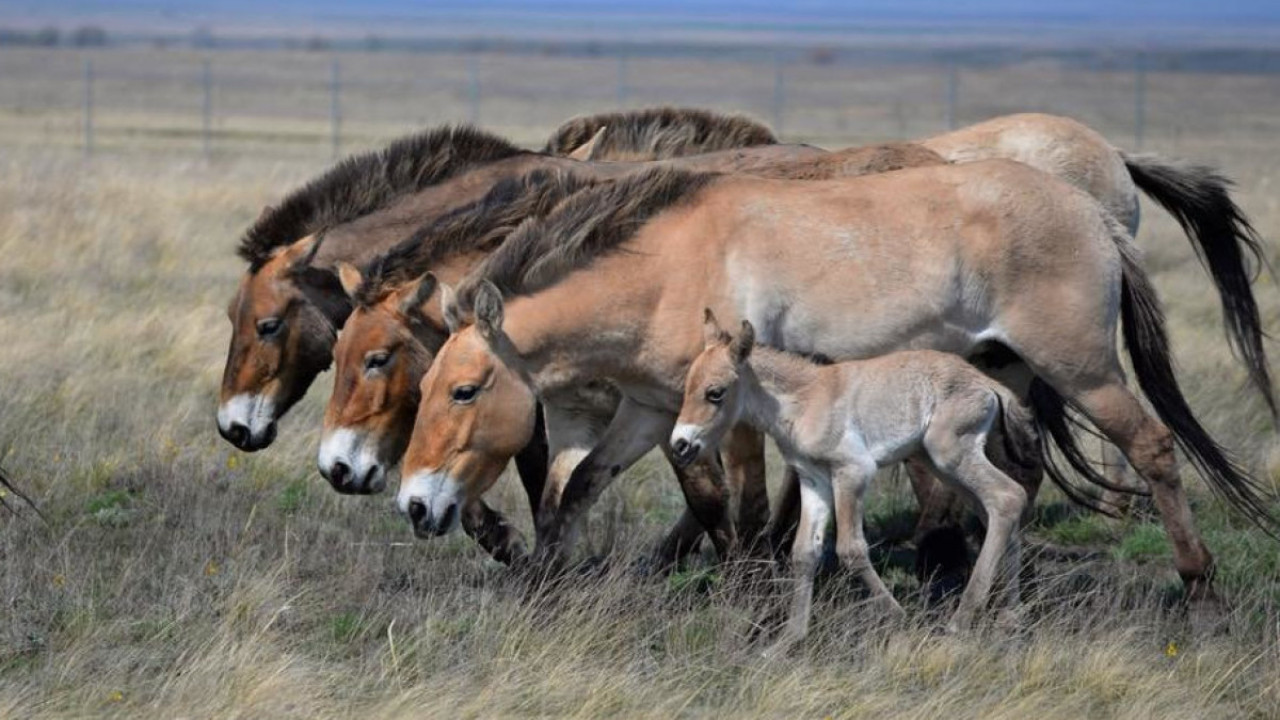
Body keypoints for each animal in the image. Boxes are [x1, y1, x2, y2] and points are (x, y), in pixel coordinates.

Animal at [396, 163, 1269, 609]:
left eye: (464, 391)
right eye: (428, 384)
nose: (414, 505)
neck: (669, 268)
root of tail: (1094, 211)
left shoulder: (728, 416)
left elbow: (739, 506)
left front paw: (748, 591)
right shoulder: (649, 410)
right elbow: (578, 489)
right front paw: (543, 584)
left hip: (1082, 367)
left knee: (1153, 446)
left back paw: (1196, 584)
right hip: (1005, 377)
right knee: (1018, 481)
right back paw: (1002, 592)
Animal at [670, 310, 1039, 650]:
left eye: (715, 392)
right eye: (686, 388)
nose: (680, 445)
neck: (805, 400)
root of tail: (988, 385)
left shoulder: (852, 471)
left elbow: (851, 548)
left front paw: (898, 616)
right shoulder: (813, 478)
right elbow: (804, 551)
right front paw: (787, 641)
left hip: (951, 454)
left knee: (1007, 497)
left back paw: (962, 620)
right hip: (940, 464)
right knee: (997, 508)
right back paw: (1009, 617)